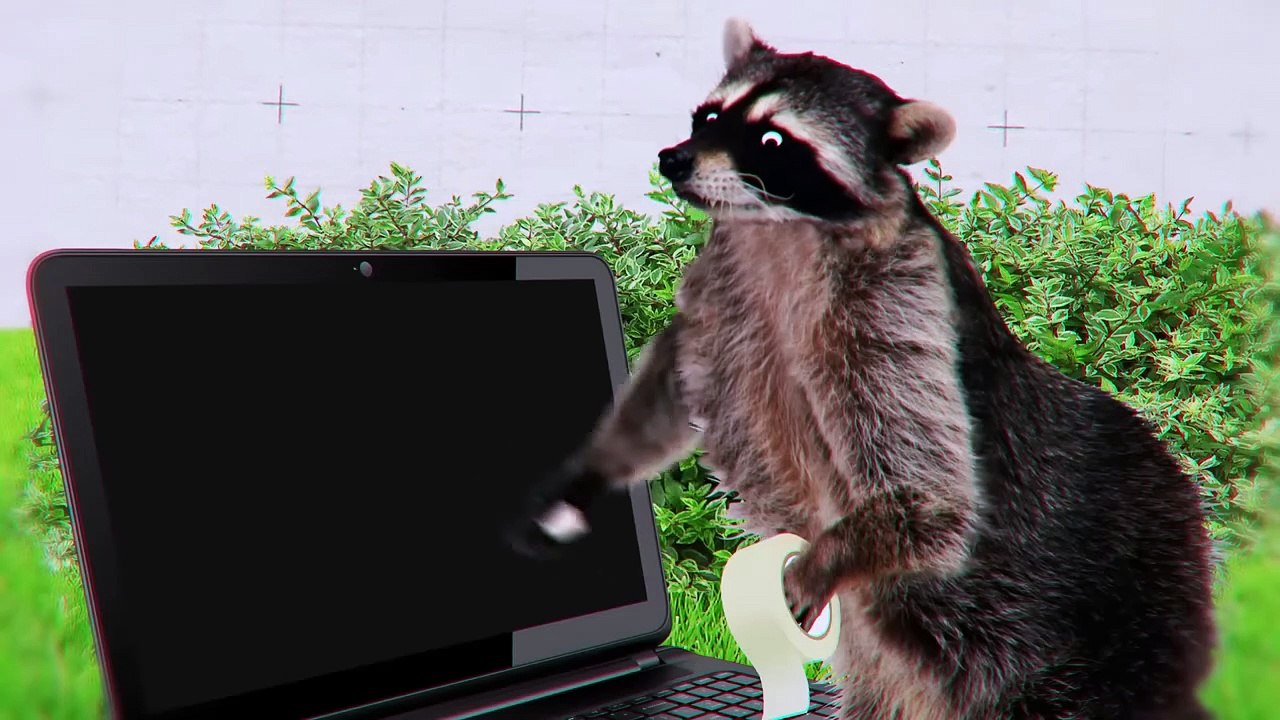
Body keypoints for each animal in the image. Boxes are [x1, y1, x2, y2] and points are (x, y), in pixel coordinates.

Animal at [509, 18, 1218, 719]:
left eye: (773, 138)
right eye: (708, 116)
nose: (674, 158)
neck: (776, 225)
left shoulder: (898, 301)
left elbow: (930, 497)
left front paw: (822, 560)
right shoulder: (724, 296)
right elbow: (671, 383)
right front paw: (592, 472)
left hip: (1110, 616)